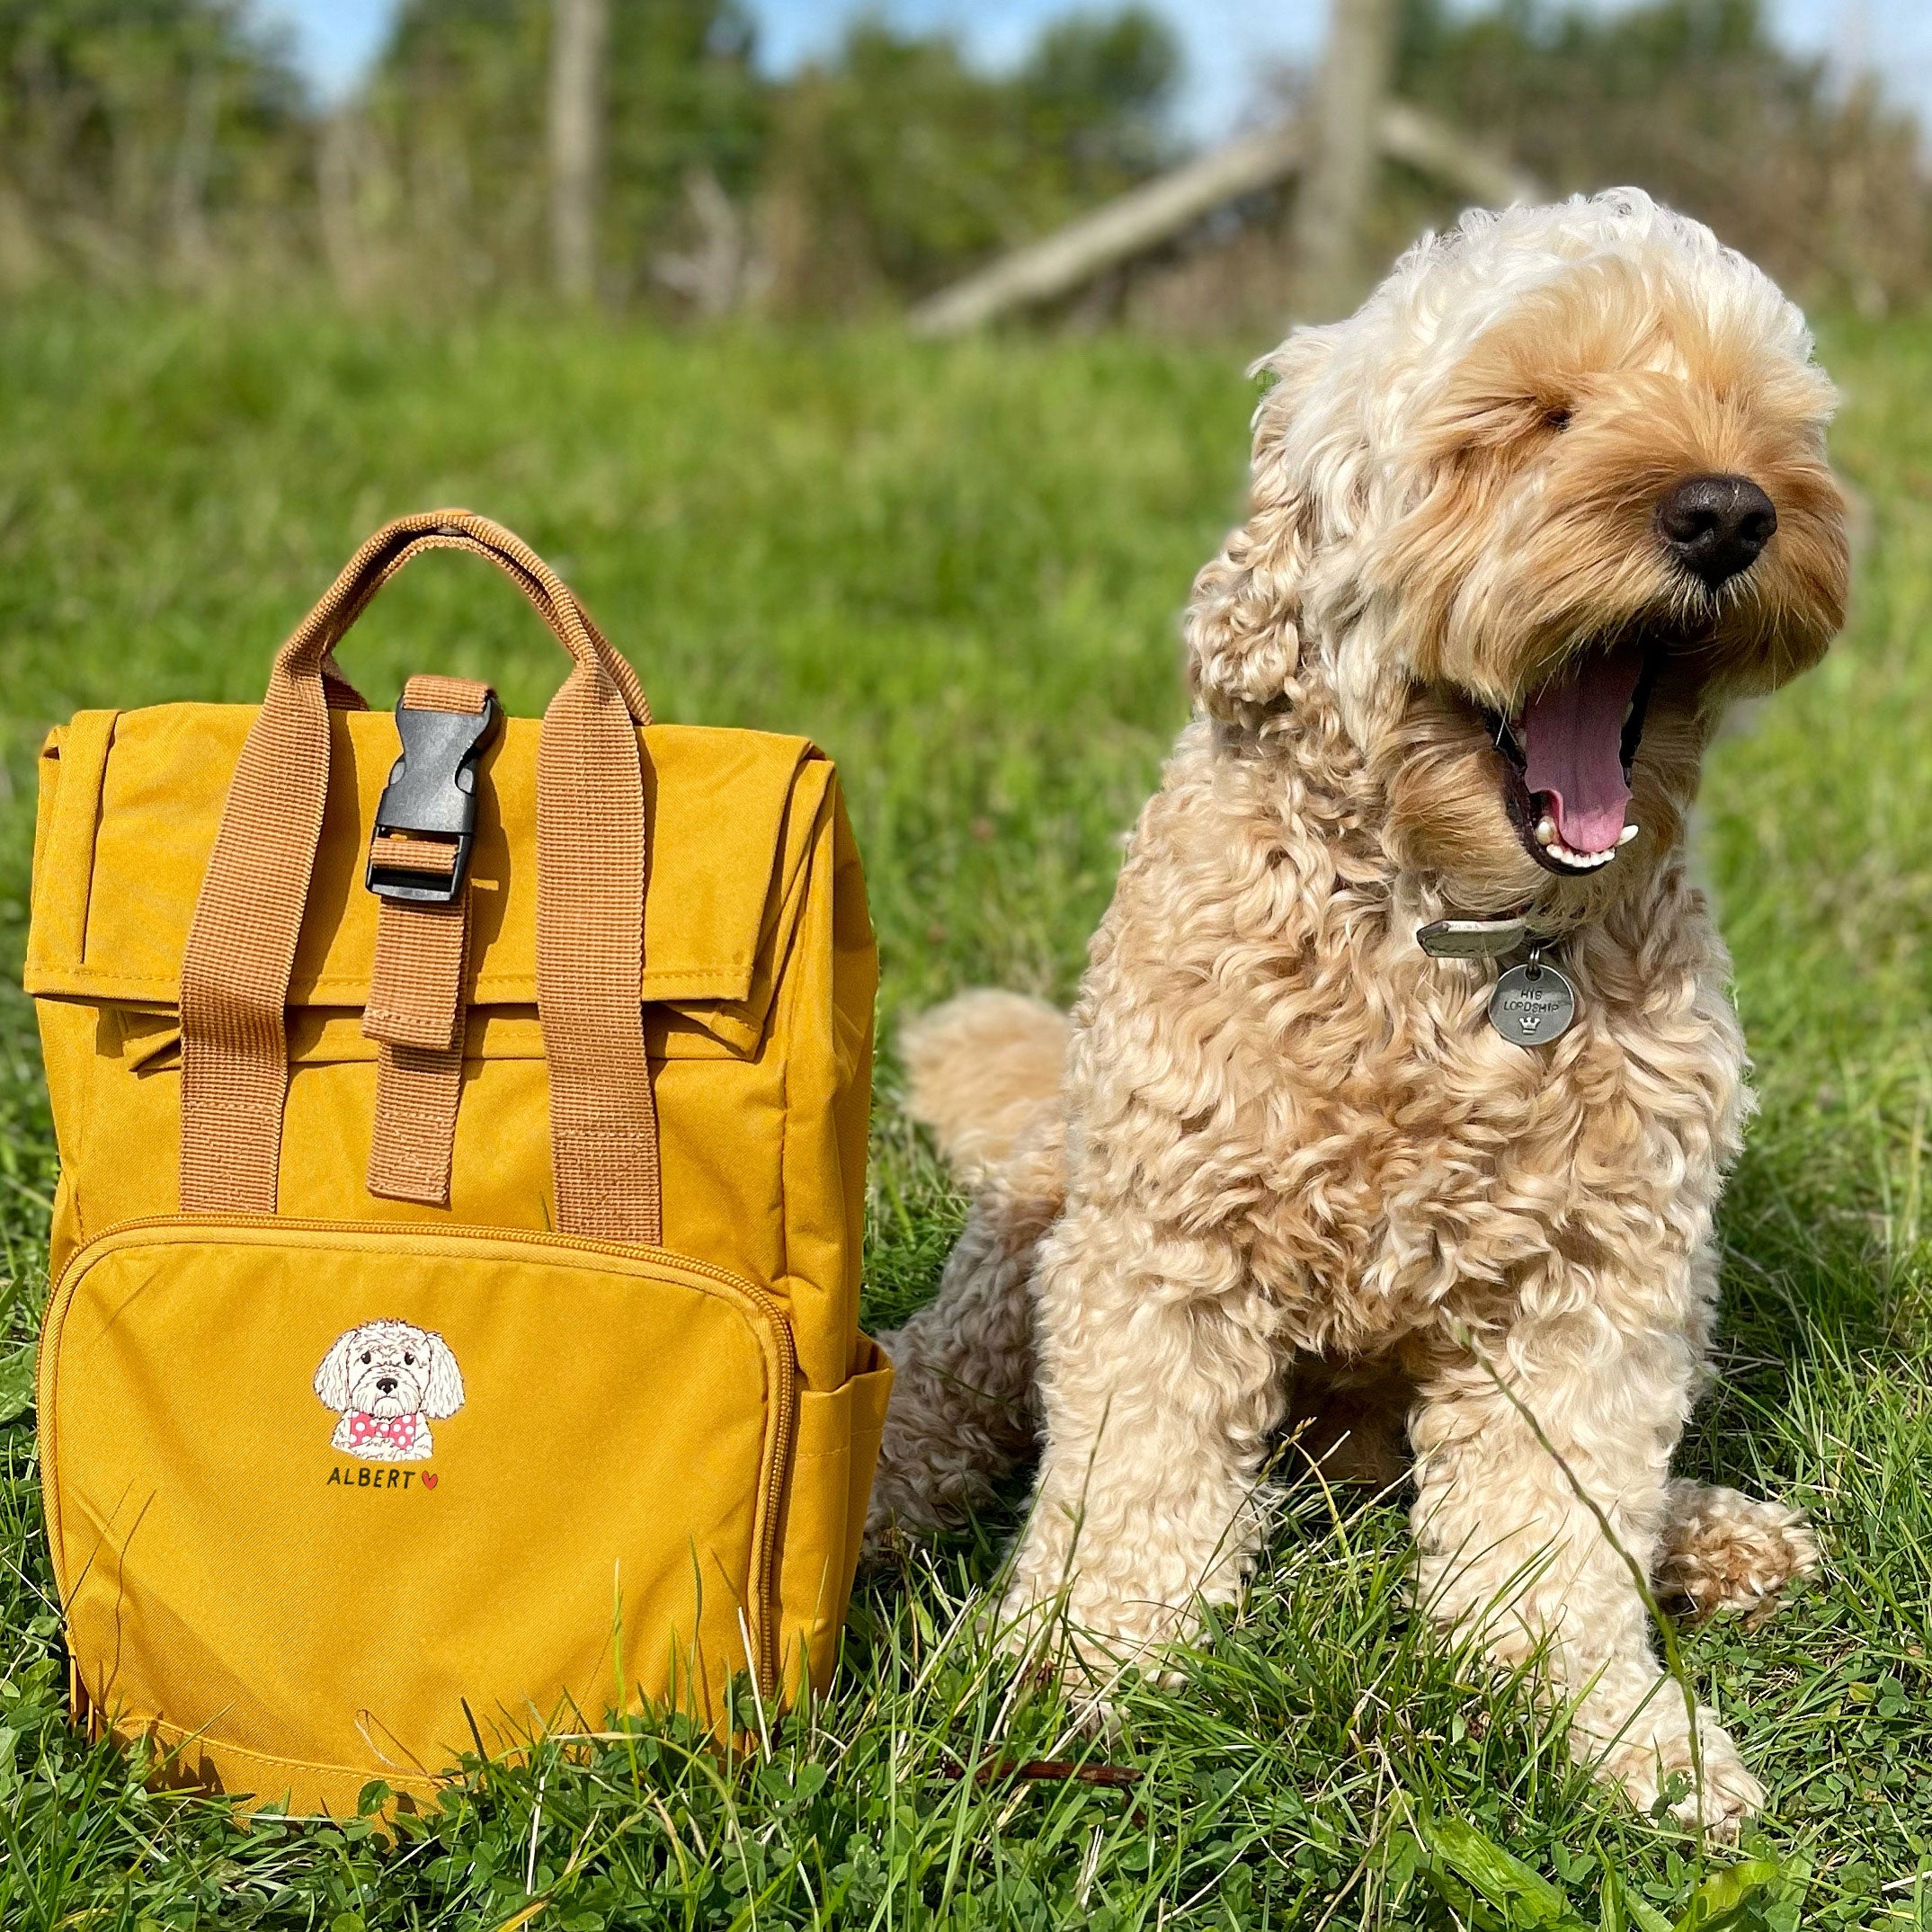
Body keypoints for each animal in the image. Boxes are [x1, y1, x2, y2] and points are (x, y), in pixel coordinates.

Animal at [869, 188, 1847, 1831]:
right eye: (1534, 412)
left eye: (1756, 415)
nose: (1726, 512)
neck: (1451, 937)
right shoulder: (1165, 1257)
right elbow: (1133, 1486)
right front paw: (1079, 1667)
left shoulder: (1595, 1289)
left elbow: (1554, 1535)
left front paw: (1610, 1726)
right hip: (1033, 1250)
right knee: (938, 1388)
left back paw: (1706, 1531)